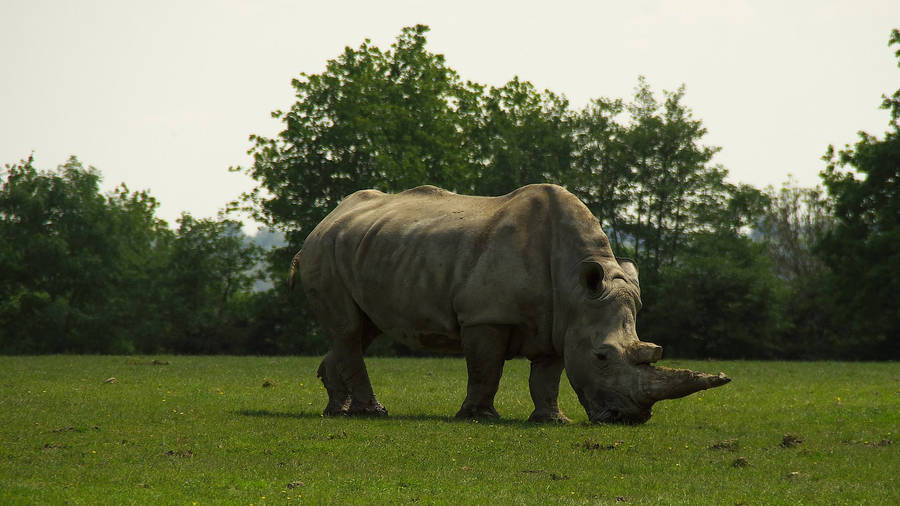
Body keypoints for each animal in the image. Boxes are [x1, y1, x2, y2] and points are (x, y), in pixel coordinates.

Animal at [290, 184, 730, 424]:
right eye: (602, 357)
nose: (630, 420)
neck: (576, 284)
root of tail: (326, 219)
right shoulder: (485, 316)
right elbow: (486, 369)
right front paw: (480, 417)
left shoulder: (562, 322)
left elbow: (547, 377)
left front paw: (552, 420)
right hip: (325, 252)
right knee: (350, 331)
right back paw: (371, 413)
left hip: (362, 246)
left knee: (358, 331)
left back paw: (337, 410)